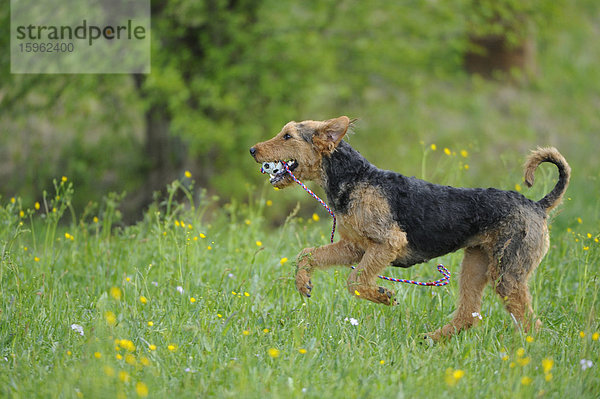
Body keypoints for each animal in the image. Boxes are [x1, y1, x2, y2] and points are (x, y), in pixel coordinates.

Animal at [248, 116, 572, 340]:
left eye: (288, 135)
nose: (252, 149)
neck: (354, 178)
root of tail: (537, 206)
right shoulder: (354, 247)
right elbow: (308, 254)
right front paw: (303, 284)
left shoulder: (388, 242)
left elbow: (355, 281)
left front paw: (383, 296)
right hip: (475, 265)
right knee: (469, 315)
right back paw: (431, 340)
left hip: (507, 274)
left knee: (530, 323)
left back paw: (526, 355)